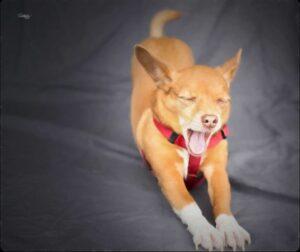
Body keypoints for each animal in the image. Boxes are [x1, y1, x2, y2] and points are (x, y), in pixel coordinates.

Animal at [130, 9, 250, 250]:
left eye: (222, 101)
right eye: (188, 99)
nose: (211, 120)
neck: (186, 147)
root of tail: (160, 37)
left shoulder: (218, 172)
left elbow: (223, 201)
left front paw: (230, 227)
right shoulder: (169, 177)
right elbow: (189, 205)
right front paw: (206, 230)